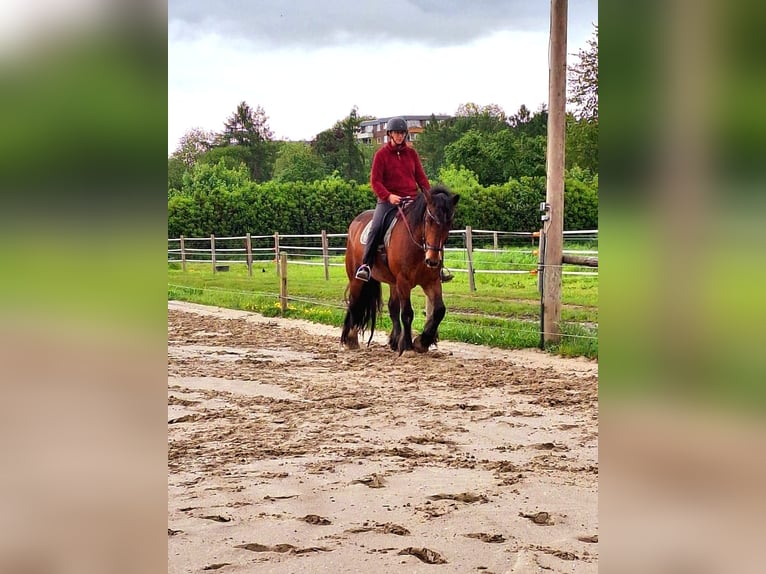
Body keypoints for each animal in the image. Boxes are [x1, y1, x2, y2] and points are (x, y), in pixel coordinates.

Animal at [340, 187, 460, 356]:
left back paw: (395, 341)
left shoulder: (431, 281)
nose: (433, 260)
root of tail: (355, 223)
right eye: (429, 221)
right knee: (354, 303)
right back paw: (351, 339)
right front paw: (408, 346)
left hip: (392, 282)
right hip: (357, 279)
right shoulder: (404, 281)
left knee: (392, 307)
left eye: (449, 223)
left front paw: (422, 342)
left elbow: (439, 311)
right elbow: (408, 313)